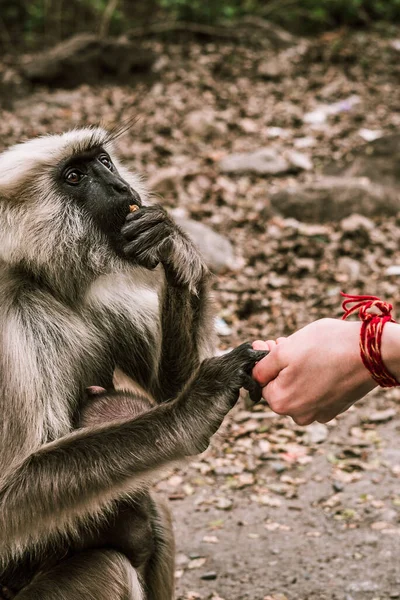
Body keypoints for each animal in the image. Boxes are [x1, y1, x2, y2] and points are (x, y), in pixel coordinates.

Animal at [0, 129, 266, 596]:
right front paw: (192, 410)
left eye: (104, 161)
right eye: (75, 176)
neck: (38, 281)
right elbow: (7, 502)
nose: (121, 187)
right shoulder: (9, 332)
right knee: (109, 565)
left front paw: (176, 248)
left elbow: (168, 386)